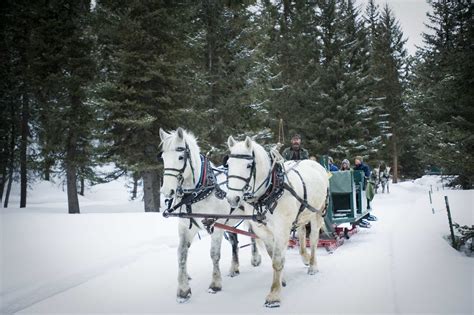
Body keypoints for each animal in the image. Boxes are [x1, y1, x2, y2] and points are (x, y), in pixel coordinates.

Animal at [161, 128, 262, 304]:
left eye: (180, 157)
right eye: (163, 157)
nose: (167, 191)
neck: (196, 193)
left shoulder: (215, 226)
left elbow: (214, 254)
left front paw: (215, 284)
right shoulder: (185, 227)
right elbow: (181, 254)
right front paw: (183, 290)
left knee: (252, 235)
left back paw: (255, 258)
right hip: (229, 222)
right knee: (234, 242)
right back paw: (234, 268)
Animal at [226, 136, 330, 308]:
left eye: (248, 165)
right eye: (228, 164)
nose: (232, 199)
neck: (270, 190)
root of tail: (315, 163)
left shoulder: (281, 229)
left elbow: (276, 260)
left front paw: (274, 294)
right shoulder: (263, 231)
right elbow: (273, 256)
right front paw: (282, 279)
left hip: (317, 212)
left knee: (314, 239)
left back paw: (313, 265)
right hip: (301, 214)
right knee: (302, 232)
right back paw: (305, 256)